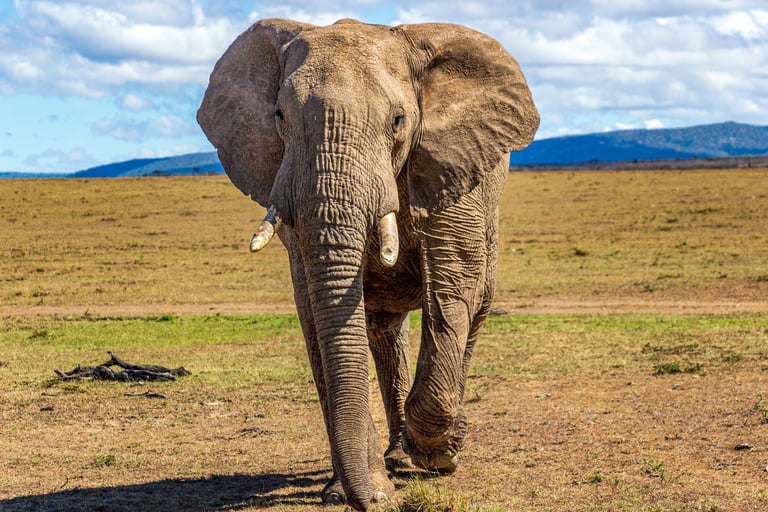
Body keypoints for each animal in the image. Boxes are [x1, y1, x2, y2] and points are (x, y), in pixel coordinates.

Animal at [197, 18, 538, 511]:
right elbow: (315, 313)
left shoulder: (451, 169)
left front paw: (438, 455)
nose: (378, 503)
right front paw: (352, 490)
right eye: (280, 117)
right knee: (383, 331)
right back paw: (395, 458)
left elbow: (452, 288)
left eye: (397, 120)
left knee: (475, 308)